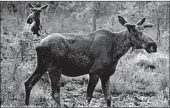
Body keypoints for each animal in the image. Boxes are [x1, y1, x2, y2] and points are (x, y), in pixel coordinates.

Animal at [24, 15, 157, 107]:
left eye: (143, 30)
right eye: (135, 32)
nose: (153, 45)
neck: (116, 51)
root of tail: (38, 45)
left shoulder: (106, 75)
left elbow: (108, 98)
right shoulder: (94, 72)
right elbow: (88, 97)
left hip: (41, 66)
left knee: (28, 83)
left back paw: (26, 104)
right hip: (54, 68)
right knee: (55, 93)